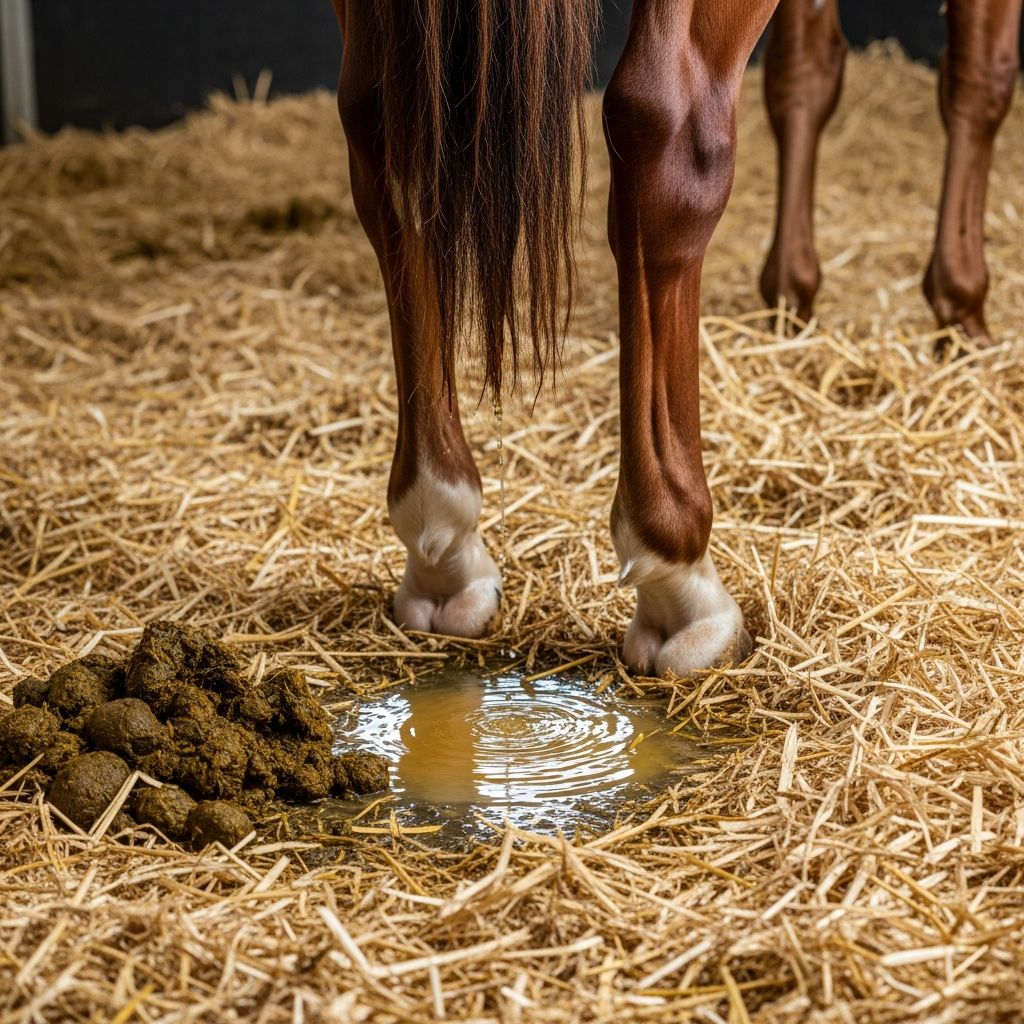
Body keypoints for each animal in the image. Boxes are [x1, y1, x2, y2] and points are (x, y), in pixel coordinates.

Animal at [331, 0, 1021, 677]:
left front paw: (791, 293)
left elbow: (805, 72)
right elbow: (980, 79)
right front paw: (961, 309)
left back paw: (441, 538)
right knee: (666, 128)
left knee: (382, 127)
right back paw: (680, 582)